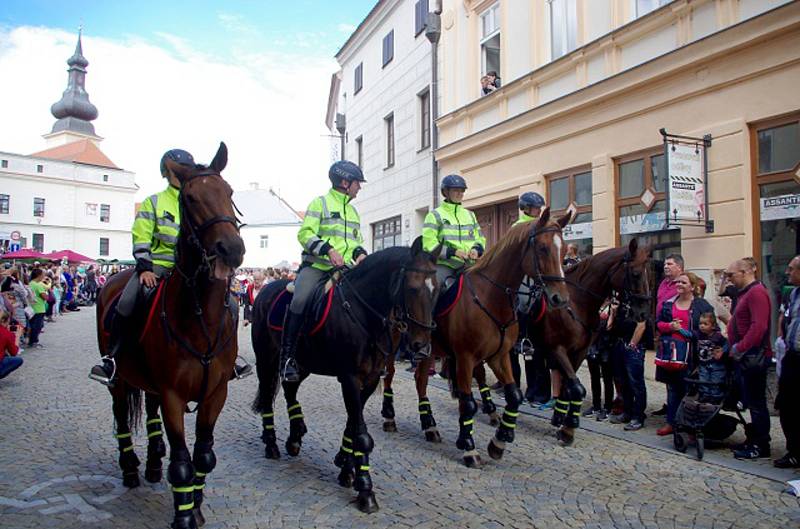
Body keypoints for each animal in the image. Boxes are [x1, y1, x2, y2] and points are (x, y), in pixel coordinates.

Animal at [95, 142, 244, 528]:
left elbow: (203, 456)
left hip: (149, 386)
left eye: (229, 192)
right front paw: (184, 516)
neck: (200, 317)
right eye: (191, 198)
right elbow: (182, 463)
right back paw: (131, 470)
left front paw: (197, 505)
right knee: (122, 417)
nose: (231, 249)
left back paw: (150, 465)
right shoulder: (173, 396)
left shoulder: (215, 394)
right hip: (119, 381)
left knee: (149, 416)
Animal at [250, 239, 438, 512]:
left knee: (290, 390)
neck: (363, 312)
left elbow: (352, 425)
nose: (421, 347)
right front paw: (365, 489)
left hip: (302, 364)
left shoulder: (370, 380)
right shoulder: (349, 378)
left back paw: (295, 437)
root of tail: (265, 289)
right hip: (265, 358)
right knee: (267, 396)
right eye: (412, 288)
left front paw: (347, 469)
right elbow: (361, 434)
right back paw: (271, 443)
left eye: (437, 290)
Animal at [380, 209, 568, 466]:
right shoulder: (466, 357)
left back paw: (429, 425)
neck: (491, 298)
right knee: (389, 375)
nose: (560, 298)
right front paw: (469, 447)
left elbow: (514, 395)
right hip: (395, 341)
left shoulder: (499, 356)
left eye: (564, 249)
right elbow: (468, 402)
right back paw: (390, 418)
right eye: (542, 248)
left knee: (420, 381)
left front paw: (499, 440)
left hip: (429, 348)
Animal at [536, 239, 652, 446]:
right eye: (636, 274)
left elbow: (570, 387)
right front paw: (567, 429)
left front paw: (562, 422)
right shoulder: (557, 348)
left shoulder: (579, 352)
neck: (576, 302)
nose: (644, 313)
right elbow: (575, 388)